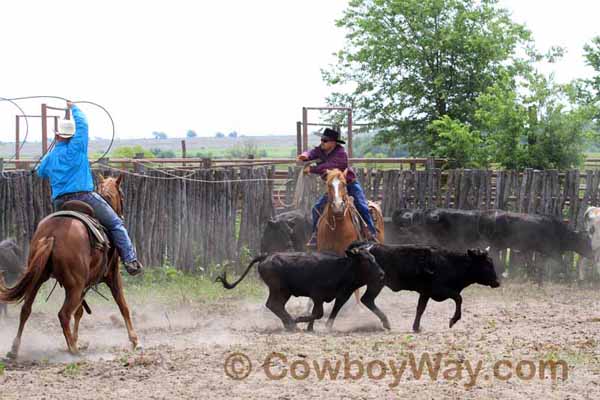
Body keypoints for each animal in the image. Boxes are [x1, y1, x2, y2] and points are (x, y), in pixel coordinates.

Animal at [0, 174, 139, 356]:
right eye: (121, 194)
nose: (121, 215)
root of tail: (52, 234)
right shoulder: (112, 276)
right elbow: (123, 305)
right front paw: (134, 340)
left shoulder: (85, 285)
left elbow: (79, 312)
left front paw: (76, 338)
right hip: (74, 286)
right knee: (63, 314)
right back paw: (73, 350)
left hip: (39, 278)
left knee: (26, 309)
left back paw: (15, 349)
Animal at [216, 241, 390, 332]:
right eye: (366, 260)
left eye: (374, 257)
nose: (382, 274)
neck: (341, 268)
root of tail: (265, 257)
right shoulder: (317, 295)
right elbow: (318, 313)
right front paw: (301, 320)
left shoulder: (341, 294)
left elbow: (333, 310)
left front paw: (311, 327)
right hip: (279, 289)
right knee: (273, 304)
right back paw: (292, 323)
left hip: (283, 291)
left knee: (275, 305)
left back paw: (289, 324)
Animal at [370, 245, 502, 332]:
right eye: (487, 264)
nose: (497, 282)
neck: (452, 264)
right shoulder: (439, 290)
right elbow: (459, 298)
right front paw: (453, 320)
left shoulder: (425, 293)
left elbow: (420, 308)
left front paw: (416, 327)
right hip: (376, 284)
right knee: (368, 300)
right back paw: (385, 322)